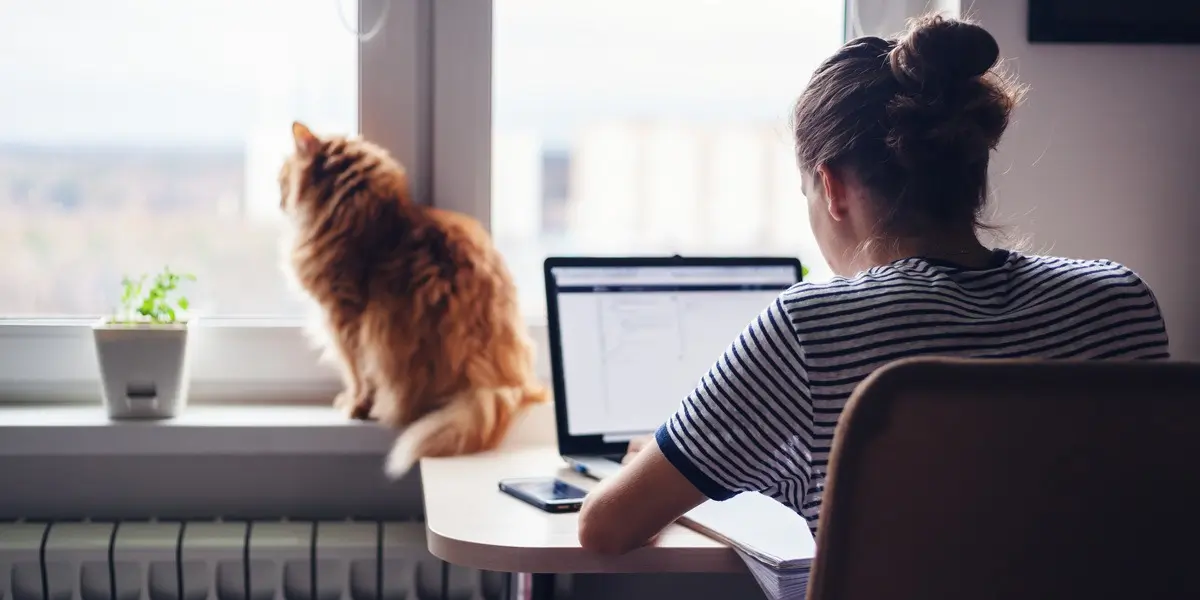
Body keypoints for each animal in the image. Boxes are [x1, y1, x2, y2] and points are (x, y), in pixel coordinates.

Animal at [276, 121, 549, 477]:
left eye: (282, 178)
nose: (279, 199)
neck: (368, 218)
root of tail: (498, 382)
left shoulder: (344, 318)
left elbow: (356, 374)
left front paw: (354, 405)